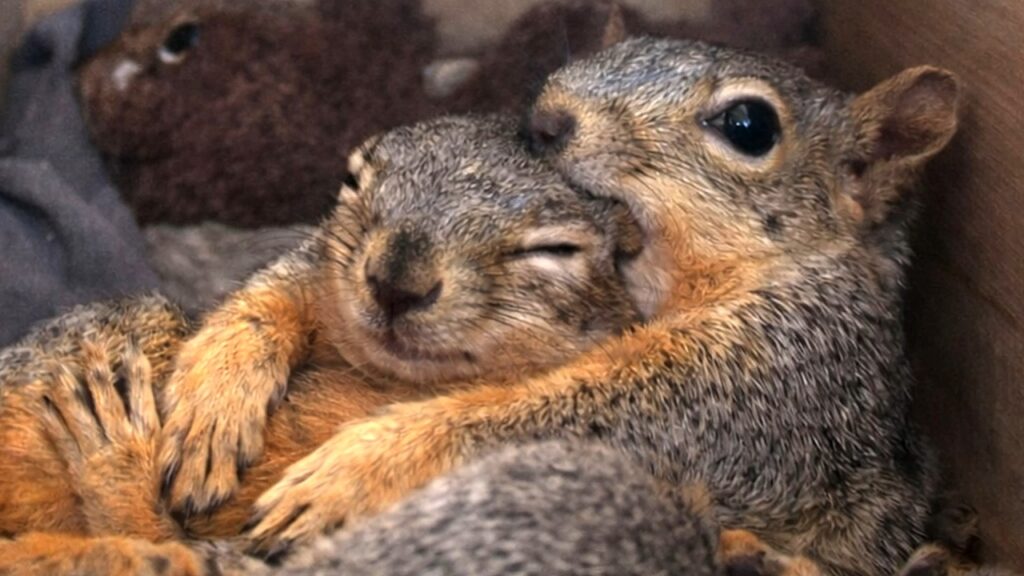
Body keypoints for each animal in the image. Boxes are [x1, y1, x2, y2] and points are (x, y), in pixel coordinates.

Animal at [158, 37, 959, 576]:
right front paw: (210, 404)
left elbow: (576, 418)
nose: (546, 116)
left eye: (750, 126)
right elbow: (285, 289)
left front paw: (365, 464)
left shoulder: (784, 374)